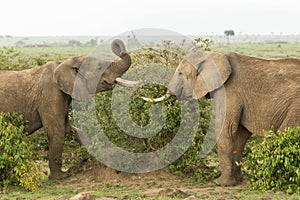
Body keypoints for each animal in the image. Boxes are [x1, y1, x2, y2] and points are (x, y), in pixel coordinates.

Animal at [0, 39, 141, 180]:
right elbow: (57, 130)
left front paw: (89, 157)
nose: (119, 47)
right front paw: (60, 177)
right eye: (99, 67)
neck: (65, 62)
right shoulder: (50, 95)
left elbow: (70, 128)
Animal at [144, 51, 300, 186]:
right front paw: (238, 181)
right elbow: (241, 134)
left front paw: (221, 183)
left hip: (295, 108)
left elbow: (226, 127)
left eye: (180, 73)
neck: (213, 54)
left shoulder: (229, 90)